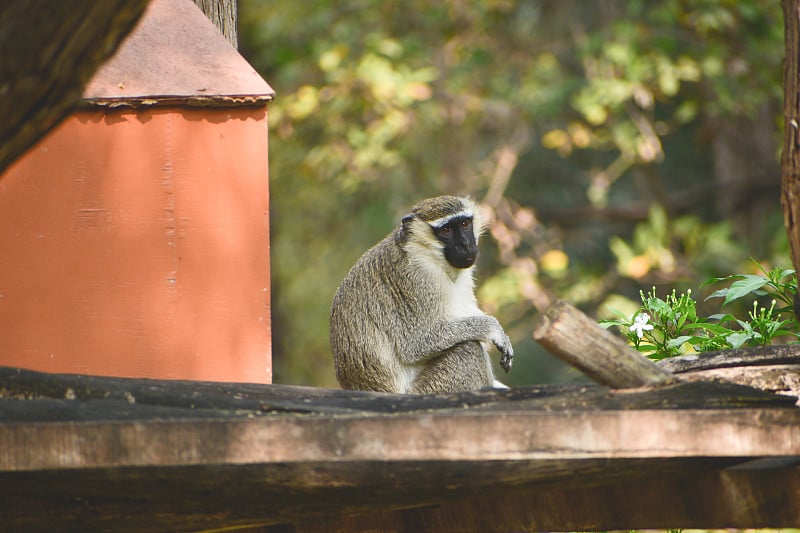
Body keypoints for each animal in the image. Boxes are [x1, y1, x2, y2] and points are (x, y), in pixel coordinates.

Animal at [330, 194, 512, 390]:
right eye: (446, 230)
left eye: (464, 224)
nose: (466, 245)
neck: (426, 253)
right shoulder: (417, 278)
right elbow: (415, 344)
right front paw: (492, 328)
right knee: (469, 349)